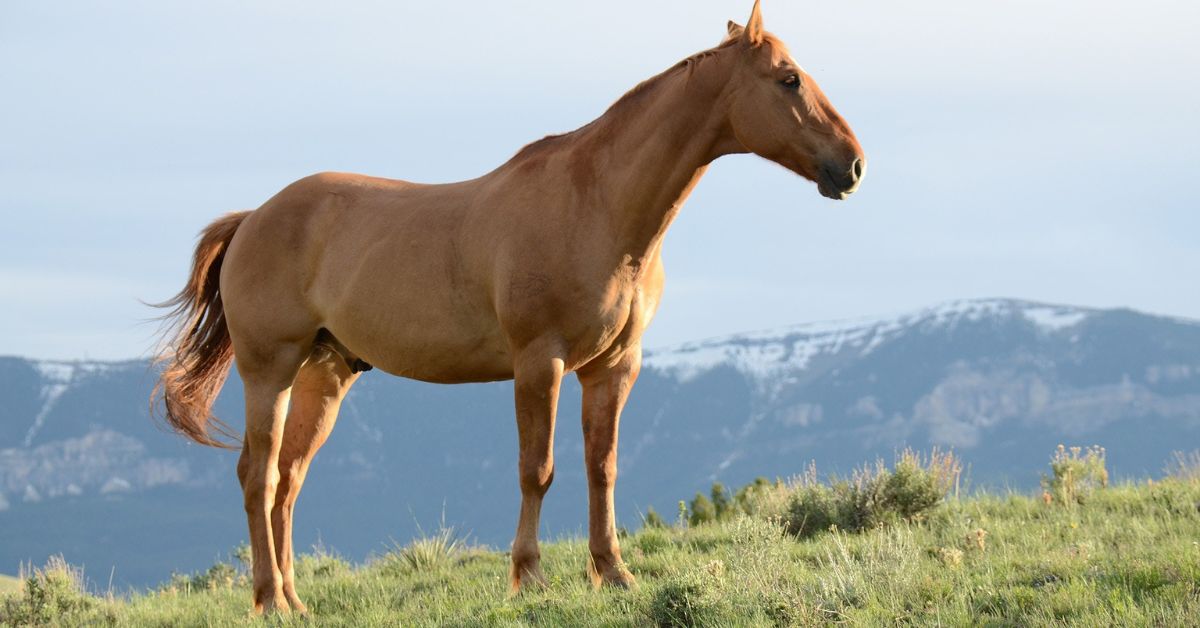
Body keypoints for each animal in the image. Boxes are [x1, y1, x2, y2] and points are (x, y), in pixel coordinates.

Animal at [152, 1, 864, 614]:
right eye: (789, 78)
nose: (852, 165)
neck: (596, 205)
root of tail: (253, 218)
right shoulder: (538, 363)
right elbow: (537, 470)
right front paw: (530, 577)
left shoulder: (614, 367)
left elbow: (601, 467)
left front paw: (614, 573)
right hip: (269, 369)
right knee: (258, 476)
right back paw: (269, 599)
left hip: (324, 375)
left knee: (289, 480)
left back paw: (295, 600)